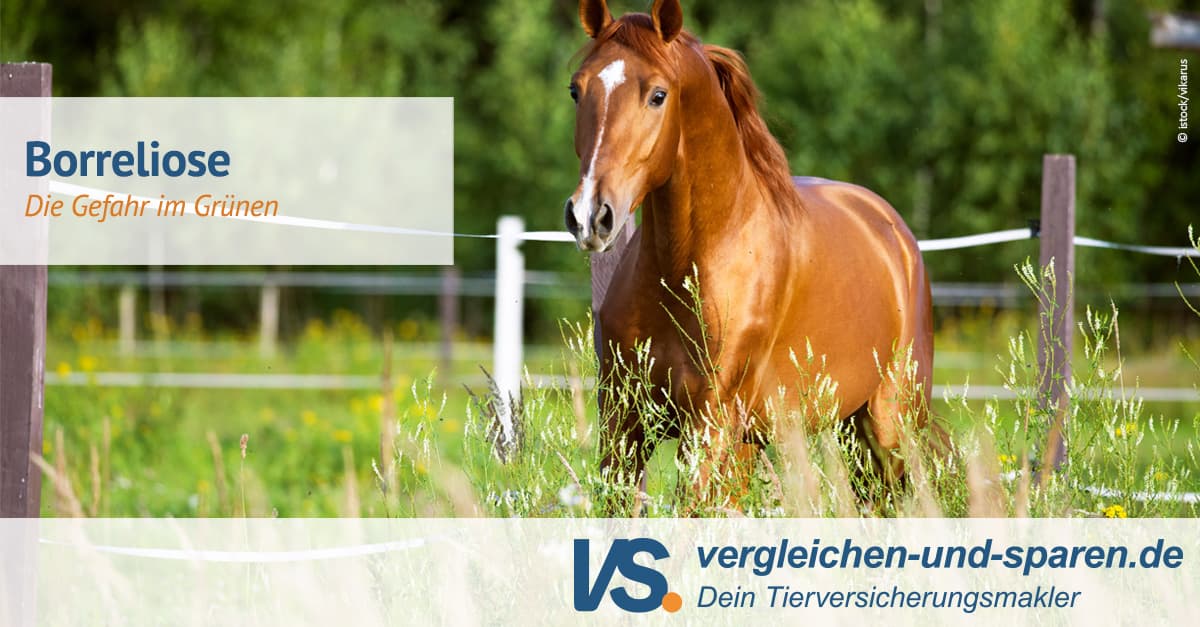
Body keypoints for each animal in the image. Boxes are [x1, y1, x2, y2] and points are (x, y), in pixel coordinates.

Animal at [563, 0, 934, 510]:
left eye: (658, 95)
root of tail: (894, 232)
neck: (689, 268)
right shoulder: (625, 423)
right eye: (576, 90)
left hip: (890, 428)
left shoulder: (709, 425)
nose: (589, 215)